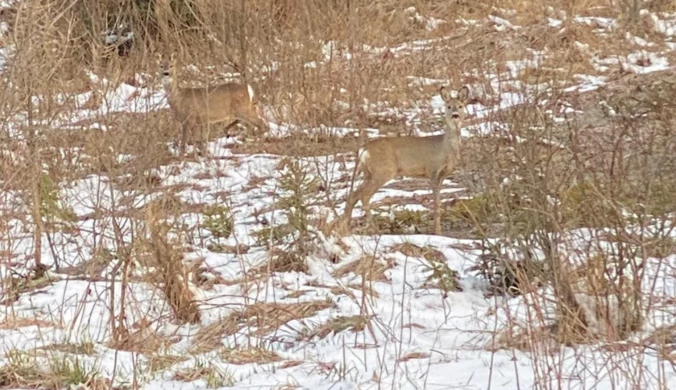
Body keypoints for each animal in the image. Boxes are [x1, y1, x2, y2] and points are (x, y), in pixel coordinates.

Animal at [338, 86, 470, 235]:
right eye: (448, 106)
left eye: (460, 106)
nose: (455, 115)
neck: (445, 148)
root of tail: (363, 149)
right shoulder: (433, 170)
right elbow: (436, 203)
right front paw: (437, 232)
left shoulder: (442, 175)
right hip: (383, 170)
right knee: (364, 195)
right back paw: (374, 229)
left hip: (369, 173)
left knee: (353, 194)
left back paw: (345, 228)